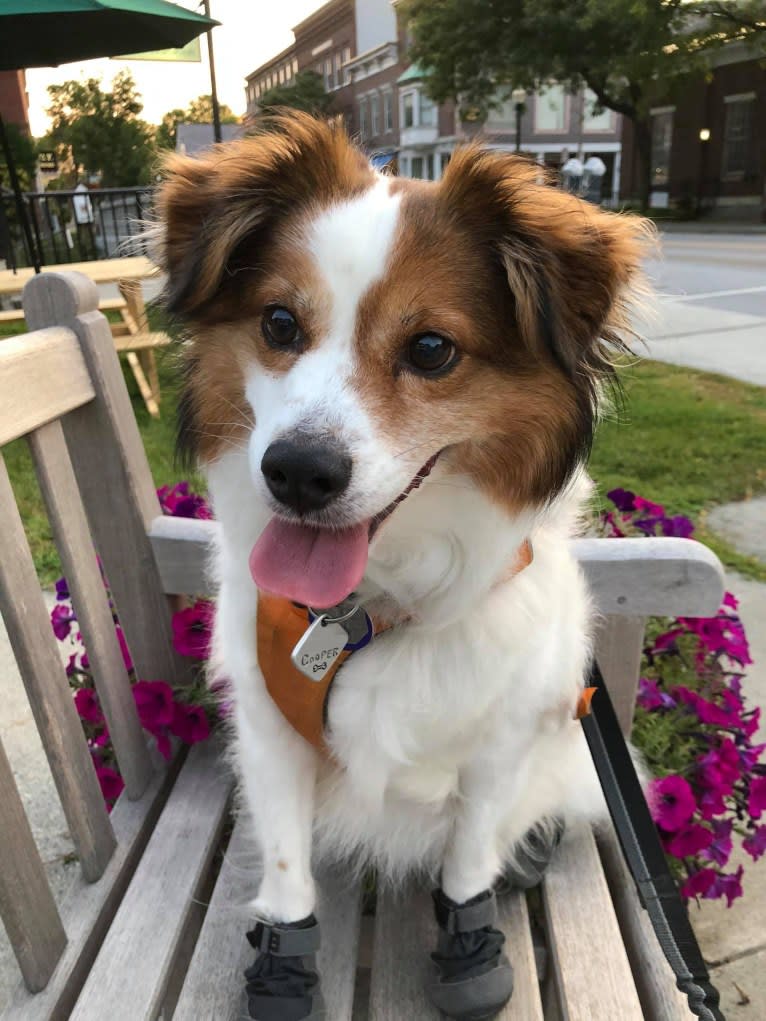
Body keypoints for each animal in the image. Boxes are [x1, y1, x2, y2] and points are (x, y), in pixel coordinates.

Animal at [159, 113, 649, 1021]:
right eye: (279, 323)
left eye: (430, 348)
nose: (297, 472)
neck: (360, 610)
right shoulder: (269, 730)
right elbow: (287, 866)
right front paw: (285, 963)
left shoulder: (499, 743)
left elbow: (467, 860)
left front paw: (470, 944)